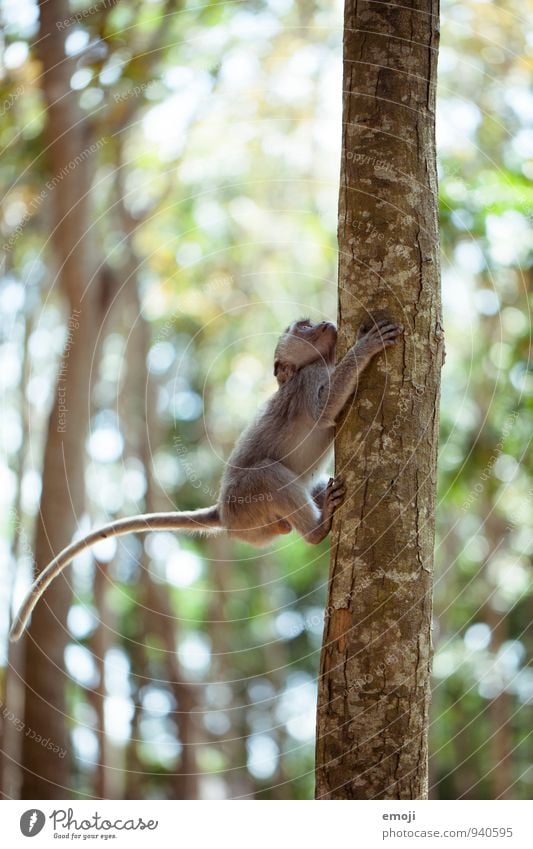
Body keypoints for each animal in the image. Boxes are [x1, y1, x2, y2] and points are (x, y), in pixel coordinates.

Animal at [9, 314, 400, 640]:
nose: (323, 323)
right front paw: (365, 347)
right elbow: (323, 410)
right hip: (246, 503)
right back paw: (318, 529)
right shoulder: (308, 379)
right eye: (303, 326)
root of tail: (223, 513)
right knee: (267, 475)